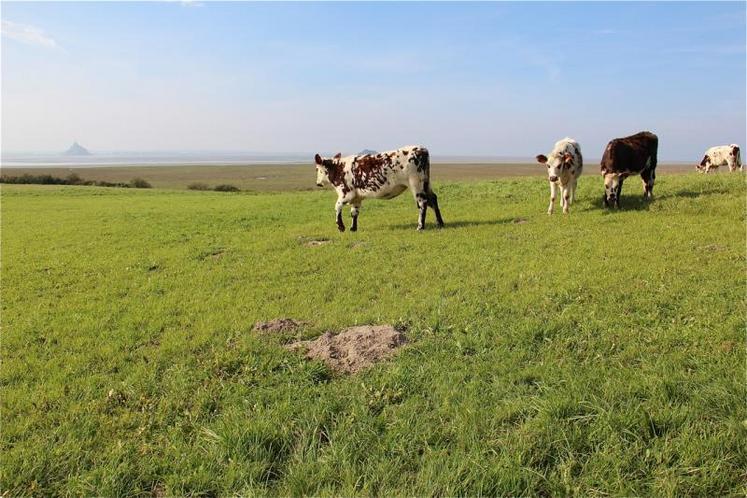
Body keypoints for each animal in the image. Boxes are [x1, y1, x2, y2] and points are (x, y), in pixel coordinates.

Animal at [312, 143, 442, 231]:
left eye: (317, 169)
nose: (318, 183)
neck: (339, 168)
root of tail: (421, 149)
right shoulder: (357, 197)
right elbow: (354, 212)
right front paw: (353, 228)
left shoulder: (346, 193)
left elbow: (337, 206)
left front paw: (341, 227)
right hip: (426, 182)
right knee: (433, 199)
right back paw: (439, 223)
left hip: (416, 184)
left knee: (423, 202)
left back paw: (420, 226)